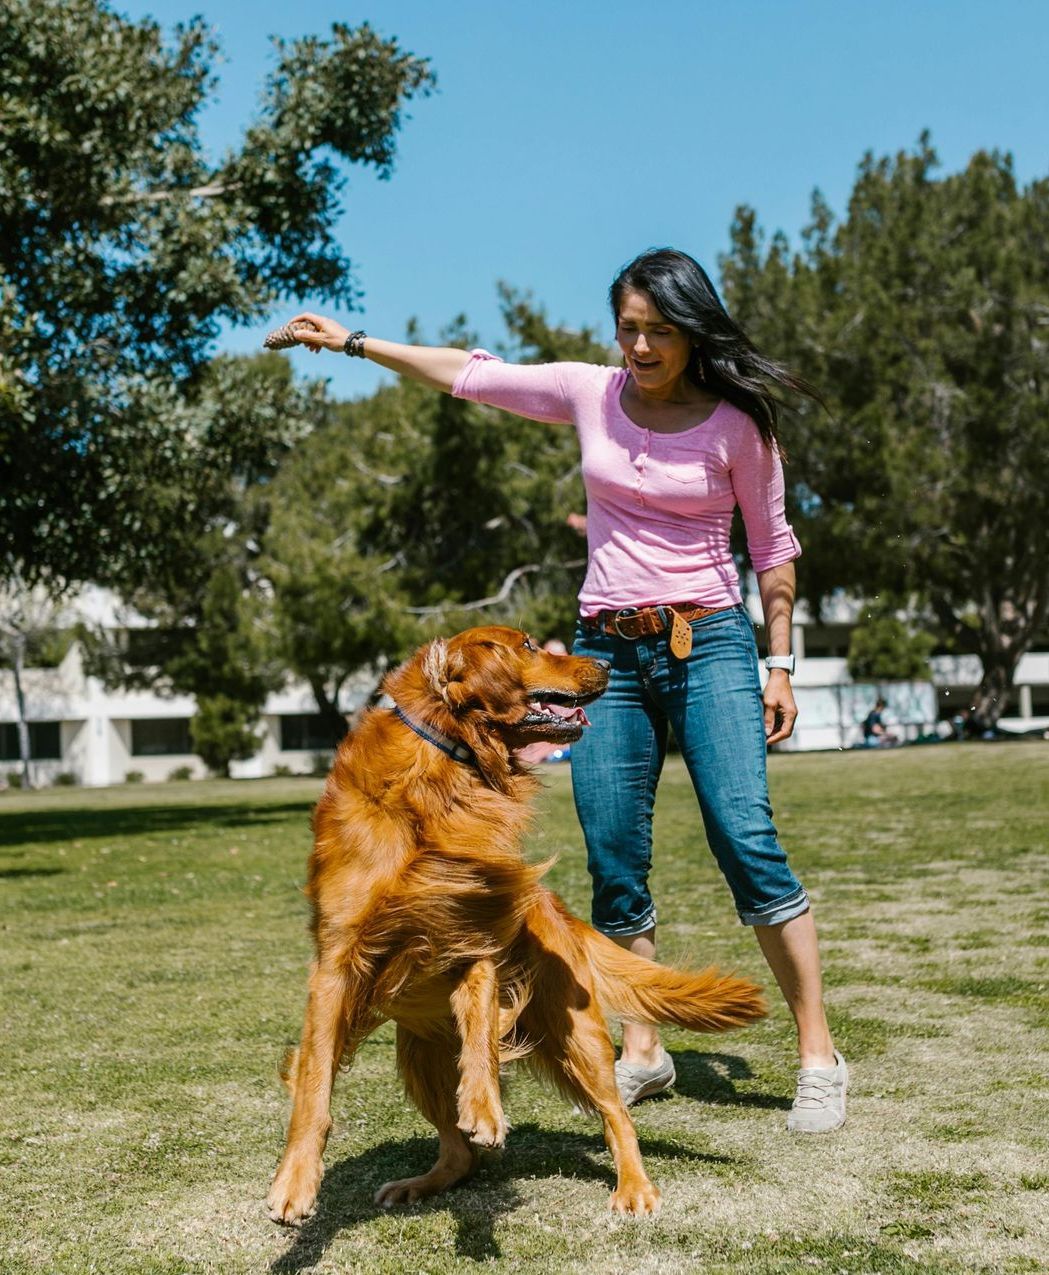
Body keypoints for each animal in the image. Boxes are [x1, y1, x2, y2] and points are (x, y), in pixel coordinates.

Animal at [266, 627, 764, 1224]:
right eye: (528, 646)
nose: (604, 664)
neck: (445, 770)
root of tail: (554, 907)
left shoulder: (475, 938)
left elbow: (481, 1027)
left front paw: (485, 1106)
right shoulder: (336, 965)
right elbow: (314, 1084)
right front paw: (295, 1180)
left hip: (576, 1033)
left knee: (616, 1114)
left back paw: (634, 1186)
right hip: (417, 1053)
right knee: (460, 1154)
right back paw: (422, 1182)